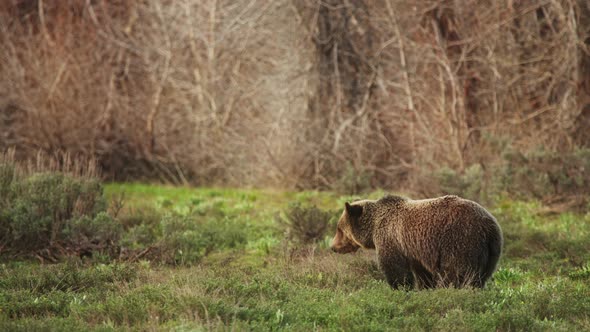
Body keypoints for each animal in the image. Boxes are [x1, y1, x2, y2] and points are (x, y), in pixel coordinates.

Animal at [332, 195, 504, 288]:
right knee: (481, 277)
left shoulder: (391, 239)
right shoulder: (415, 251)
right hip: (491, 251)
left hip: (460, 241)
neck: (374, 227)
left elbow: (396, 270)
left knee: (454, 273)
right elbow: (423, 275)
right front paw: (425, 288)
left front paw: (400, 288)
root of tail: (488, 226)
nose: (333, 247)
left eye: (339, 229)